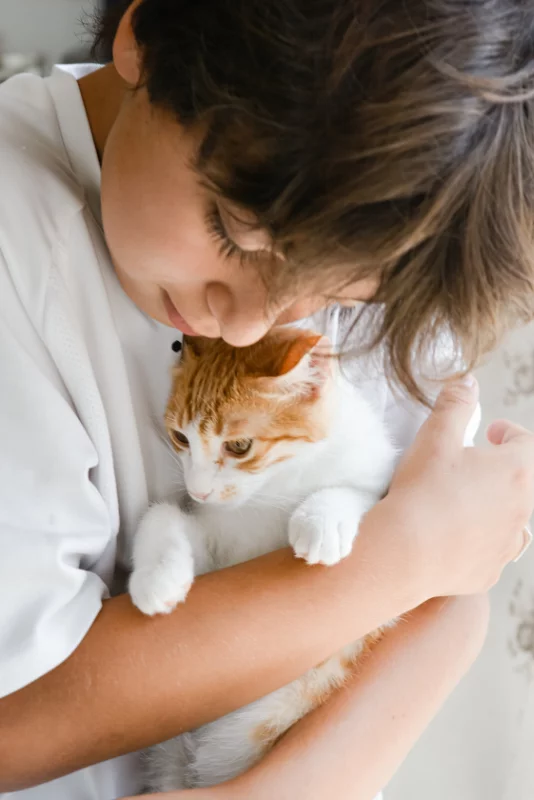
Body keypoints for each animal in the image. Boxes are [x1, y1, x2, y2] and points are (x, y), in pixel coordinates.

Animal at [130, 328, 398, 792]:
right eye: (180, 438)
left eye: (239, 446)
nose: (198, 490)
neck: (274, 486)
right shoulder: (215, 541)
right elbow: (163, 514)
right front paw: (156, 578)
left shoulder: (376, 476)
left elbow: (357, 490)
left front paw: (322, 519)